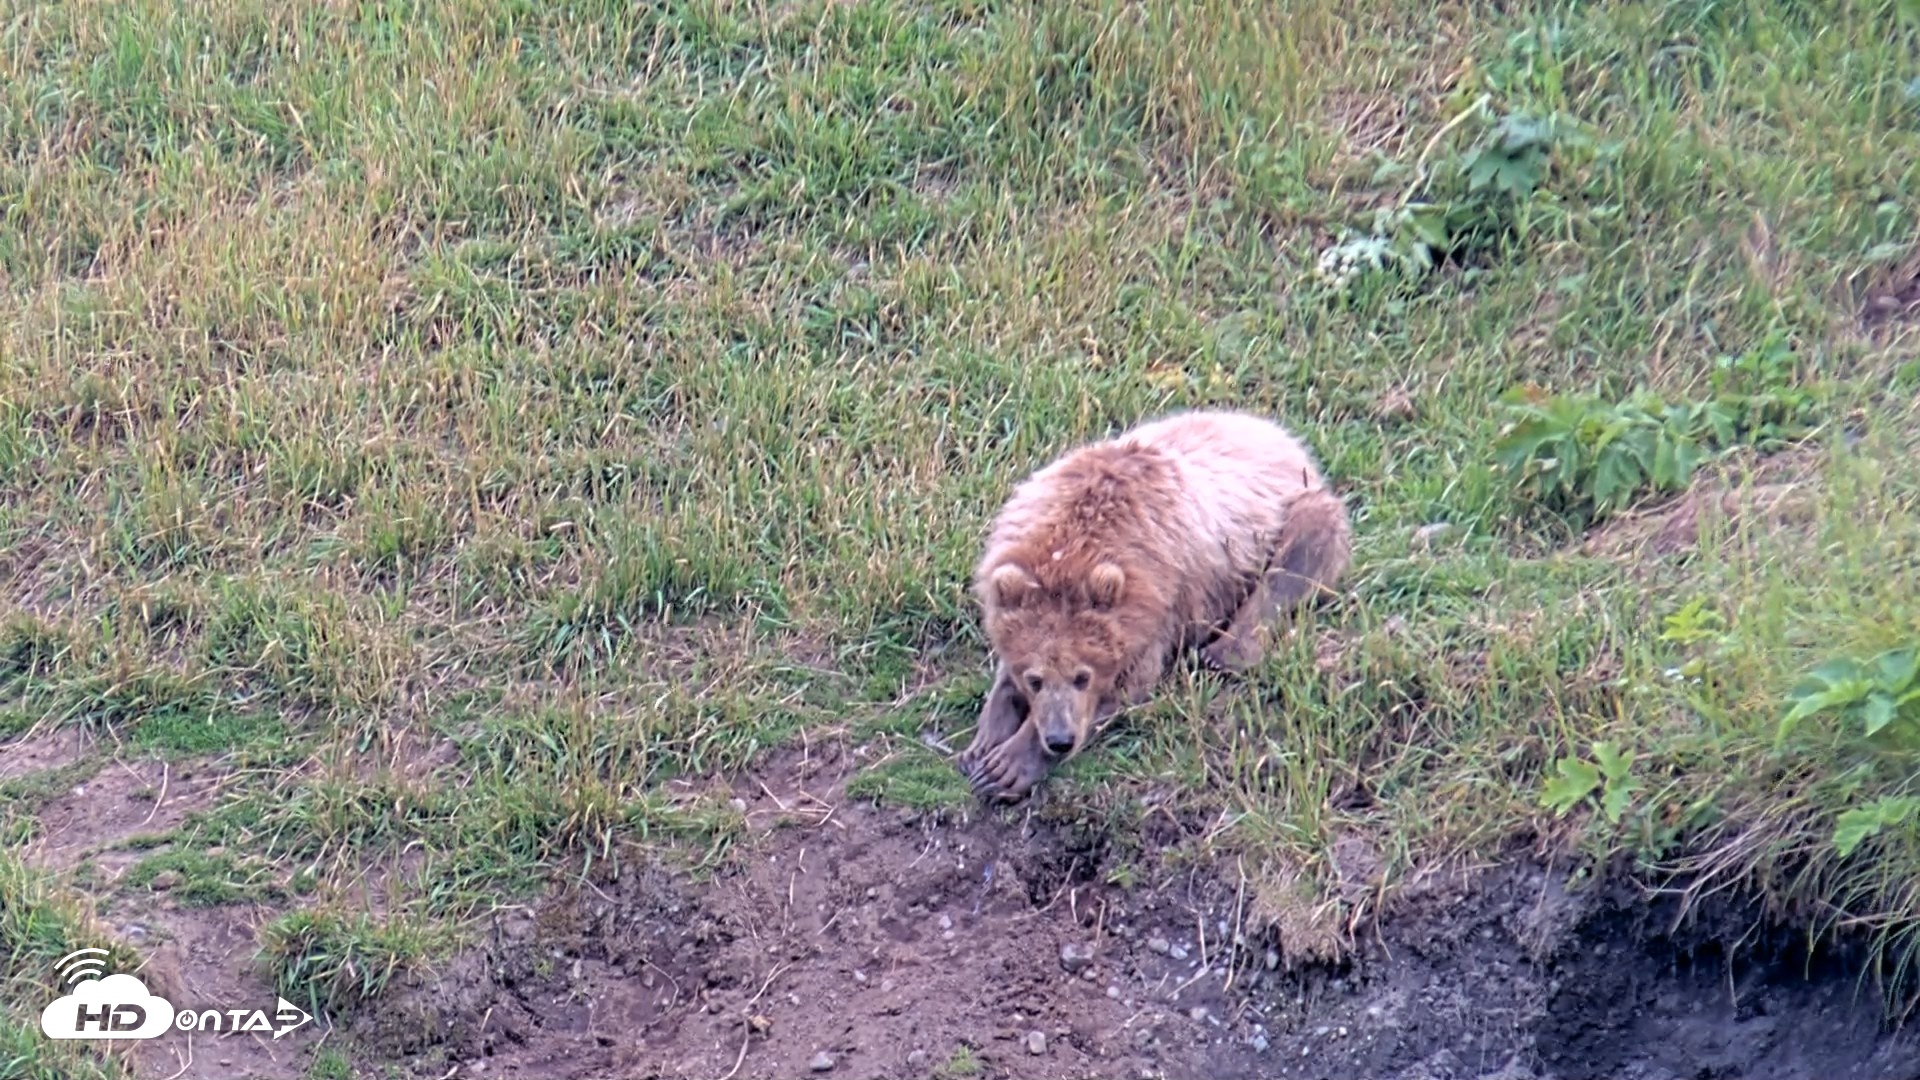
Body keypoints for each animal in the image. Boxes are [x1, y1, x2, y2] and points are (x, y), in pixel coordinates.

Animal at [954, 409, 1352, 803]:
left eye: (1083, 676)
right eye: (1034, 679)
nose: (1060, 740)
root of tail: (1278, 433)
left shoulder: (1158, 611)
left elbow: (1126, 686)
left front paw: (1005, 767)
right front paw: (982, 745)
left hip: (1284, 511)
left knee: (1302, 550)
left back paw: (1224, 653)